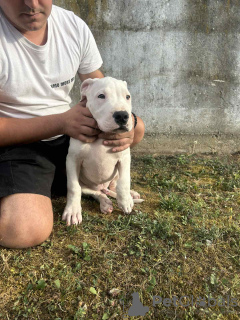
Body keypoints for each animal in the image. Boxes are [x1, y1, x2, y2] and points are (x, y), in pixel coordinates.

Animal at [62, 76, 143, 225]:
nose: (122, 115)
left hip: (115, 175)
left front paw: (125, 201)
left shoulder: (124, 157)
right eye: (101, 96)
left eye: (127, 96)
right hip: (86, 185)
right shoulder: (72, 160)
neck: (101, 135)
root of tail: (102, 187)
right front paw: (72, 211)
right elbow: (73, 187)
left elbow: (124, 181)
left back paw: (130, 194)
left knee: (114, 186)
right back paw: (105, 203)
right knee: (96, 193)